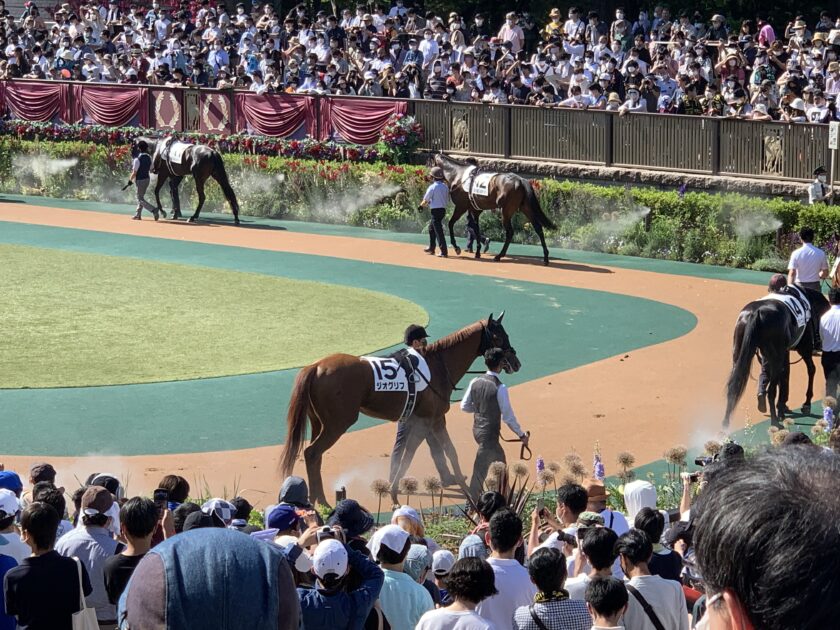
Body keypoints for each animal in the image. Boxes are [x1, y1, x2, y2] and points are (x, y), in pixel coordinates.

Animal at [278, 316, 520, 508]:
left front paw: (457, 481)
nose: (515, 362)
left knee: (314, 456)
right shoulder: (428, 420)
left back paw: (318, 499)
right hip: (338, 424)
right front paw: (395, 494)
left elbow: (437, 451)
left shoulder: (428, 421)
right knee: (312, 453)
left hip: (318, 422)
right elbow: (418, 453)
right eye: (499, 336)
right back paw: (321, 501)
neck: (437, 366)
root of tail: (316, 365)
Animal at [720, 286, 828, 430]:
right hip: (776, 356)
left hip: (738, 354)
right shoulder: (803, 349)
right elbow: (810, 370)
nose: (820, 345)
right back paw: (774, 421)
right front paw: (805, 404)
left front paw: (782, 408)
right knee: (771, 389)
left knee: (733, 385)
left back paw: (725, 423)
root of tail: (756, 313)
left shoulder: (784, 353)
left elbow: (785, 376)